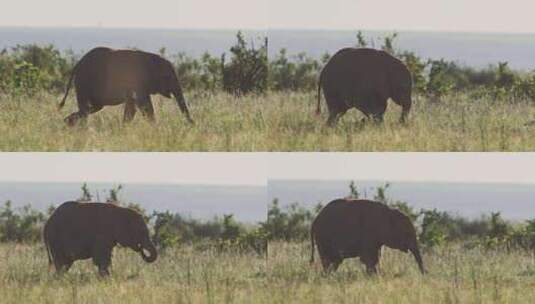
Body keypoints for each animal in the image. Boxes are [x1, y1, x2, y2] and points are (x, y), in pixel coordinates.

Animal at [59, 47, 193, 125]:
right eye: (168, 77)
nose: (192, 125)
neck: (152, 59)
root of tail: (77, 64)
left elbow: (131, 107)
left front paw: (124, 128)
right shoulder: (137, 81)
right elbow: (145, 106)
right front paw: (155, 128)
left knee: (91, 108)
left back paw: (68, 122)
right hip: (83, 82)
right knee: (86, 109)